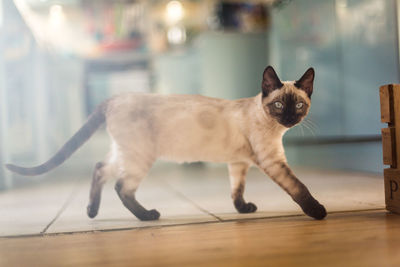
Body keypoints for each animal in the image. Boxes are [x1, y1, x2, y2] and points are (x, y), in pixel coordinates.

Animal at [4, 67, 326, 222]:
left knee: (100, 169)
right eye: (278, 106)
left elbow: (236, 189)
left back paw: (92, 211)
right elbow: (299, 189)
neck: (274, 128)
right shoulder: (272, 161)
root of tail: (114, 98)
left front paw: (243, 209)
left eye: (299, 105)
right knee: (121, 187)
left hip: (125, 152)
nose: (290, 119)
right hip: (140, 157)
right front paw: (318, 212)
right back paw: (147, 216)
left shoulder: (238, 163)